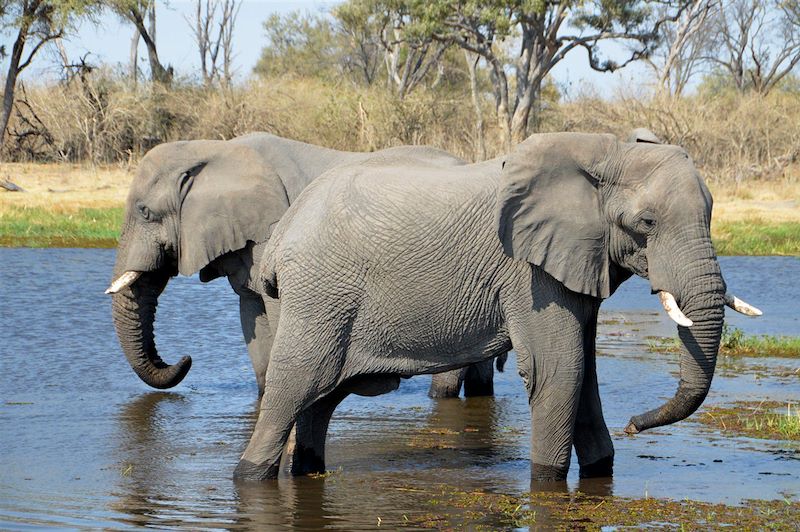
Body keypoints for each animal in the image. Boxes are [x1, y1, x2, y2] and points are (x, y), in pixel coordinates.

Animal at [233, 131, 764, 480]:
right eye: (647, 222)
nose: (635, 424)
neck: (604, 151)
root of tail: (285, 227)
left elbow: (585, 371)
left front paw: (601, 469)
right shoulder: (528, 275)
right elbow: (560, 370)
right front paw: (548, 481)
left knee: (319, 399)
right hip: (320, 295)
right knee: (294, 387)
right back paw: (250, 475)